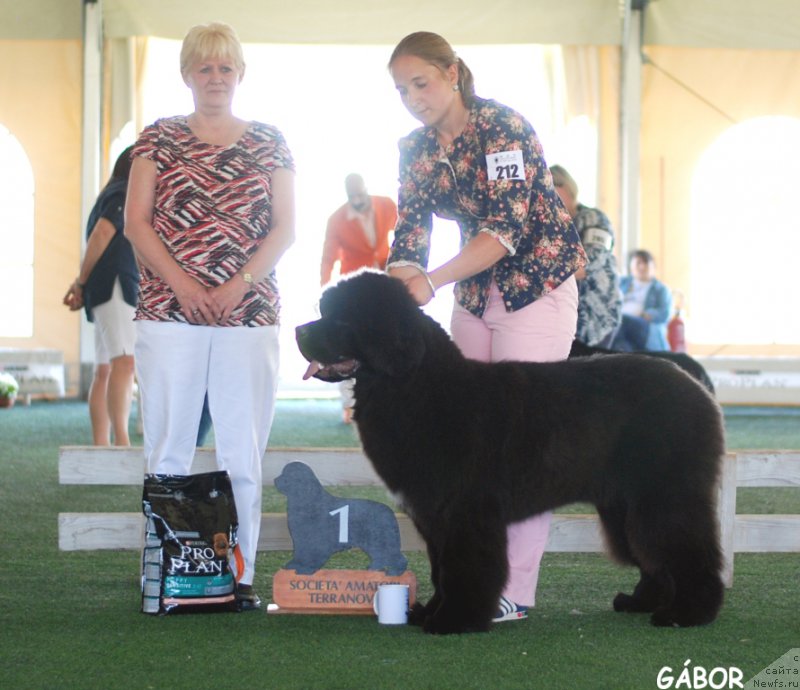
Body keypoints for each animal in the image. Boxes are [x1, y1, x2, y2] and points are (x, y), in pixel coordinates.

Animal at [296, 270, 728, 636]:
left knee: (686, 550)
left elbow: (462, 569)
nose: (299, 330)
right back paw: (641, 602)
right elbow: (440, 569)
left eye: (341, 320)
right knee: (652, 555)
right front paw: (429, 612)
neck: (416, 386)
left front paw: (453, 620)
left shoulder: (464, 512)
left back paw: (686, 613)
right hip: (624, 505)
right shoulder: (434, 515)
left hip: (663, 497)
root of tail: (695, 386)